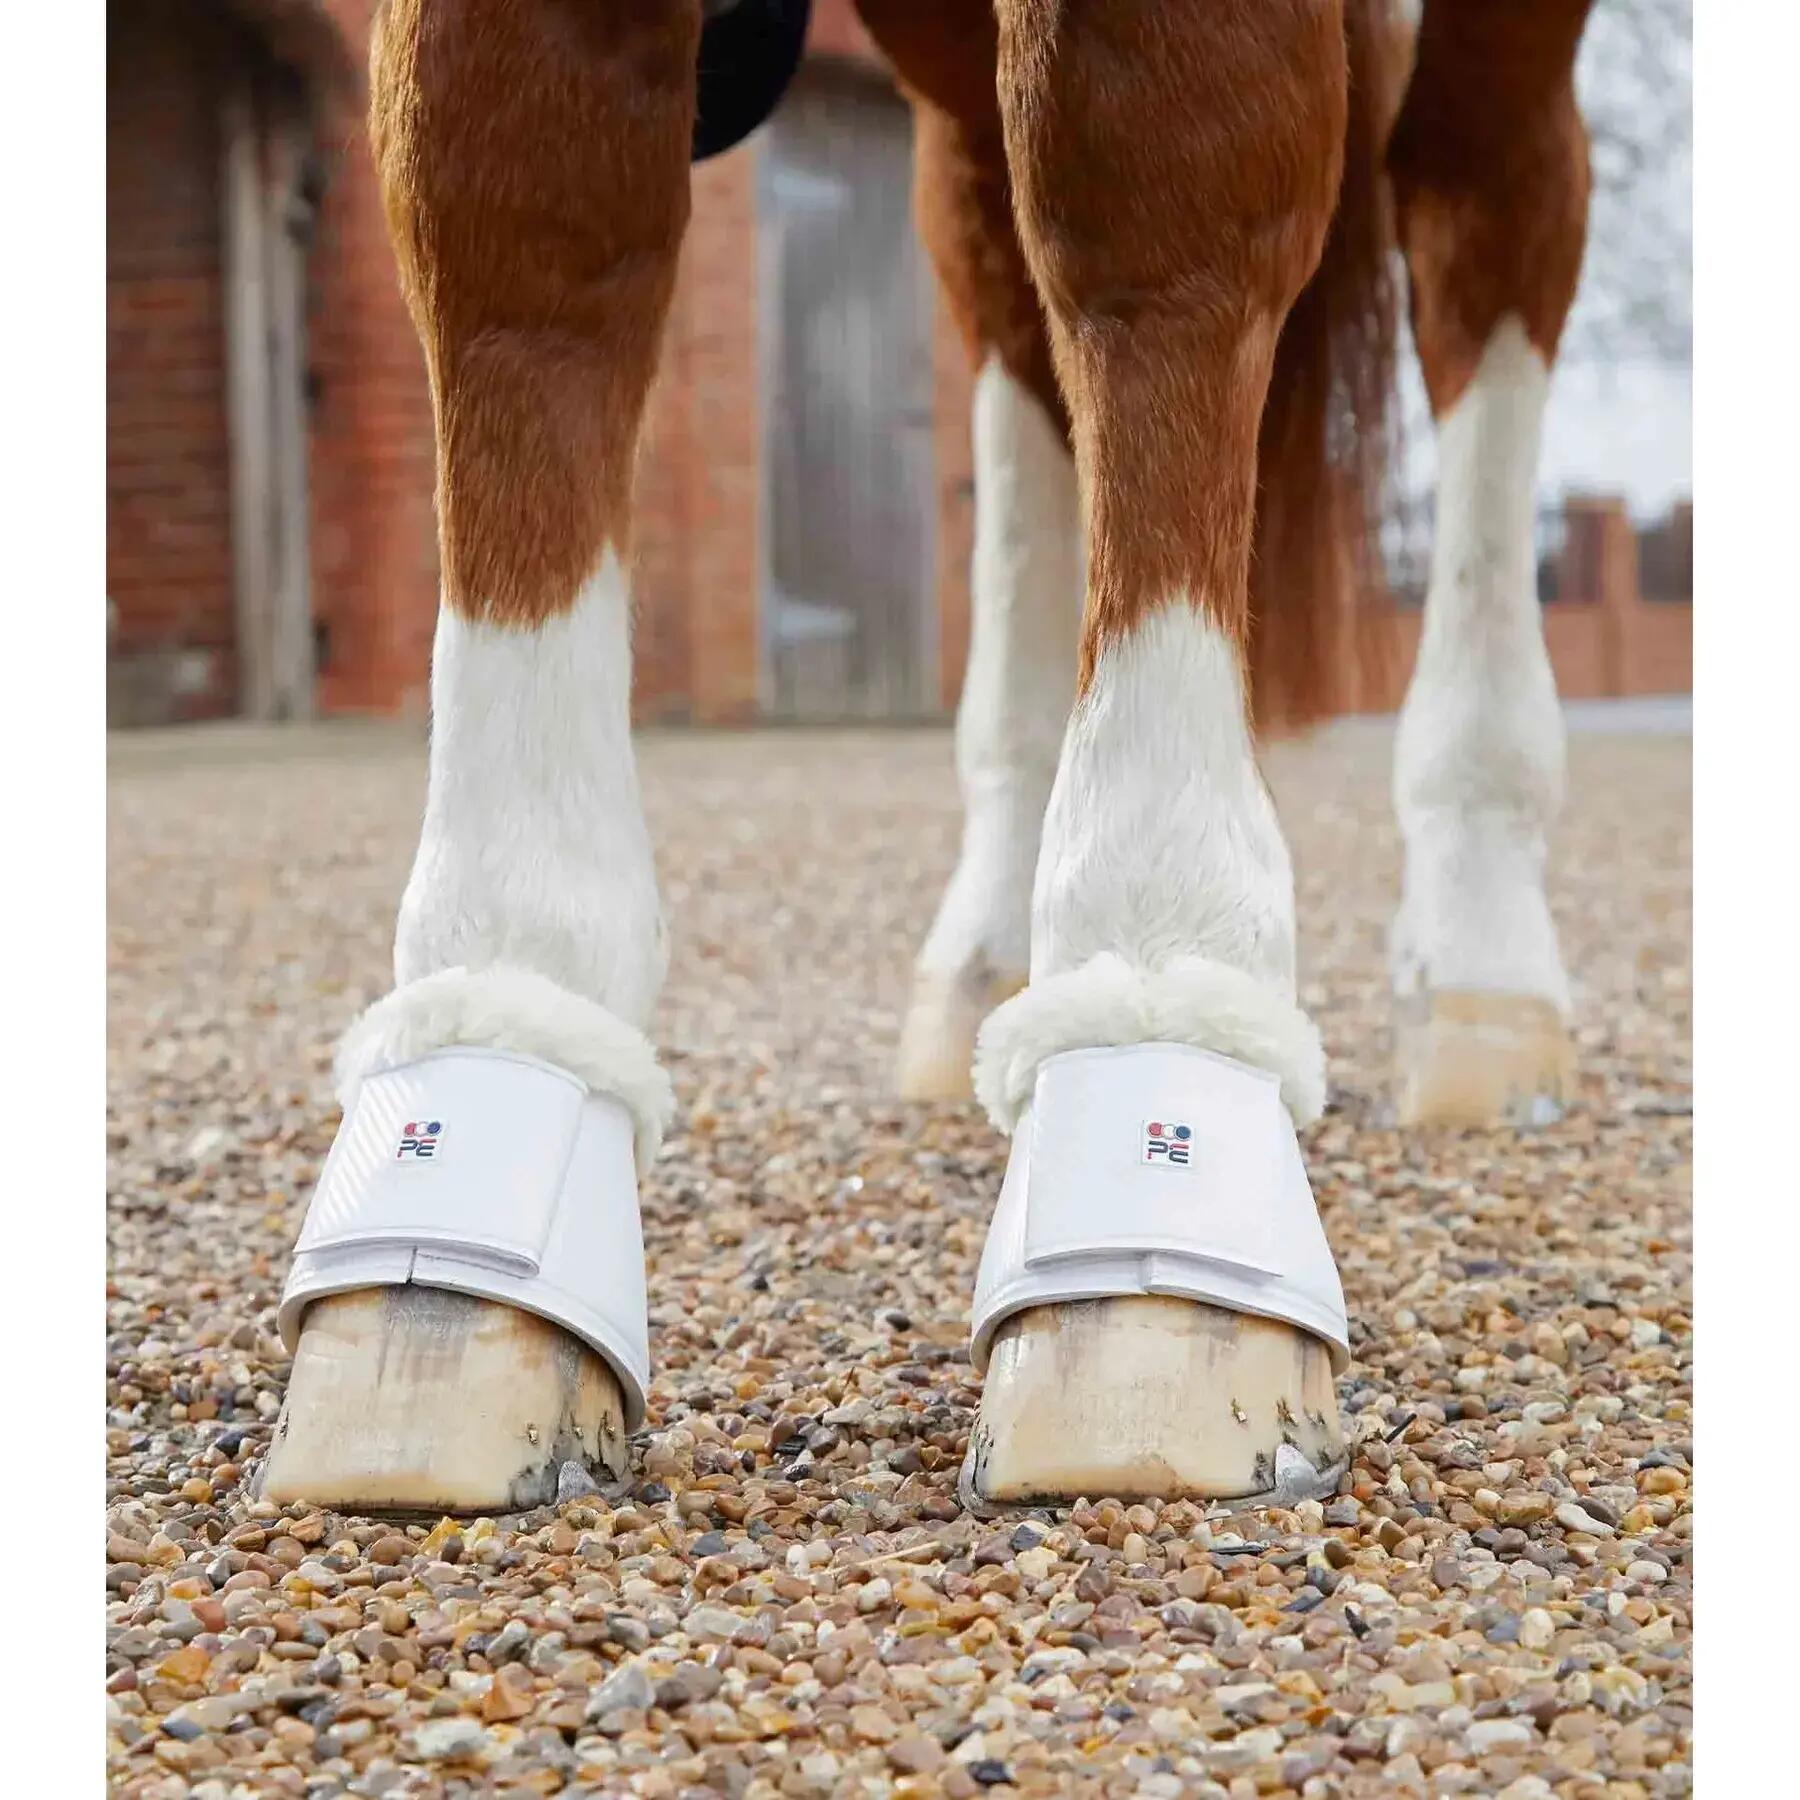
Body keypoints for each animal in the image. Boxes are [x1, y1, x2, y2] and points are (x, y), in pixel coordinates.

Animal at [259, 0, 1596, 1514]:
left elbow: (1161, 206)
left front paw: (1165, 995)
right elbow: (518, 237)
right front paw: (491, 1058)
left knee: (1490, 224)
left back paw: (1484, 962)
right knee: (1014, 315)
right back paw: (991, 966)